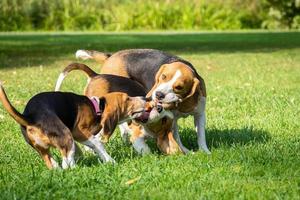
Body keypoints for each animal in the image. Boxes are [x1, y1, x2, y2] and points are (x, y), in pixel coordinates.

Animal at [0, 81, 147, 169]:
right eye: (127, 99)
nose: (144, 98)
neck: (97, 107)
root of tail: (30, 117)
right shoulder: (78, 132)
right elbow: (99, 145)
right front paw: (110, 161)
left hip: (43, 149)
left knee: (53, 163)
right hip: (66, 135)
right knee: (67, 163)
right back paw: (77, 170)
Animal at [75, 48, 209, 153]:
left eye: (179, 87)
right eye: (163, 77)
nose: (158, 94)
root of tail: (110, 56)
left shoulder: (200, 114)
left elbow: (201, 136)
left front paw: (205, 152)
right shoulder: (173, 119)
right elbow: (176, 137)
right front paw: (185, 150)